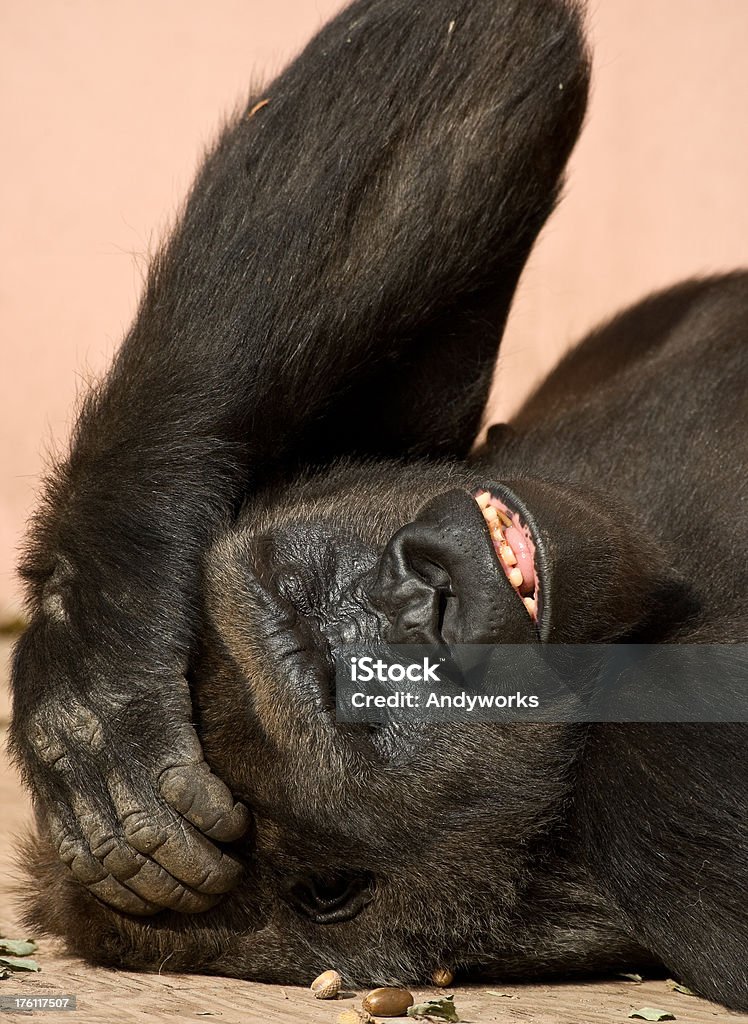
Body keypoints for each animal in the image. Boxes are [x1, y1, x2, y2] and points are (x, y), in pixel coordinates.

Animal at [7, 0, 745, 1011]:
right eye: (351, 694)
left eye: (301, 590)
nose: (420, 596)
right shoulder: (661, 785)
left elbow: (481, 55)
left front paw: (92, 646)